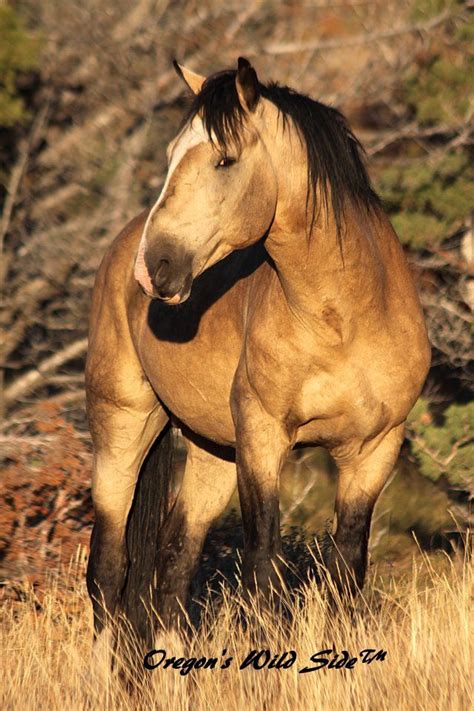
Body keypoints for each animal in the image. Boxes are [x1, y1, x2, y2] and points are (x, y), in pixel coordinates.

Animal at [84, 58, 430, 652]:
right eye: (172, 153)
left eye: (224, 159)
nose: (154, 268)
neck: (346, 320)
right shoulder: (264, 439)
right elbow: (264, 563)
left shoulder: (374, 449)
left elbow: (346, 569)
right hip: (124, 427)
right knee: (108, 568)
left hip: (212, 451)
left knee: (174, 561)